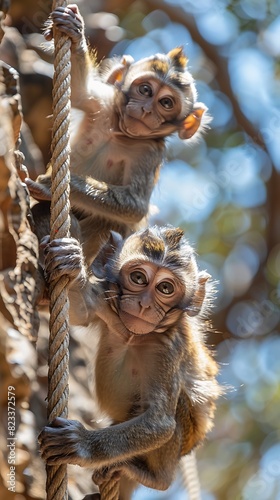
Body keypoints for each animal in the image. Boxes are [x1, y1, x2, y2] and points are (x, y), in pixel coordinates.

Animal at [26, 3, 209, 266]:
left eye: (165, 103)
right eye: (145, 89)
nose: (146, 110)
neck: (119, 133)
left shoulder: (149, 152)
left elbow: (135, 206)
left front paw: (50, 184)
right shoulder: (103, 103)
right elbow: (79, 93)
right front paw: (73, 31)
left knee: (110, 219)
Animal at [38, 226, 221, 496]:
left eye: (166, 289)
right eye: (138, 278)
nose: (144, 304)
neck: (135, 336)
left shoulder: (170, 347)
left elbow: (159, 422)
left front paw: (80, 444)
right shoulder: (105, 303)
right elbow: (80, 310)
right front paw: (70, 261)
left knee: (178, 407)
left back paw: (154, 477)